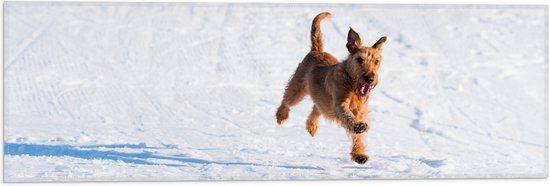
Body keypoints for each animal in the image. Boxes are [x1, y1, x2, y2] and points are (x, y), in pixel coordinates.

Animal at [276, 12, 388, 164]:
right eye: (359, 59)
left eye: (377, 61)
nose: (370, 79)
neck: (351, 84)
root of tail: (316, 50)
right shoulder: (340, 104)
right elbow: (348, 117)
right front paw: (357, 126)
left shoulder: (360, 112)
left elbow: (358, 136)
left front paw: (359, 154)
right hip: (297, 88)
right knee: (287, 100)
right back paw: (281, 116)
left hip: (321, 99)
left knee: (316, 108)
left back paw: (312, 126)